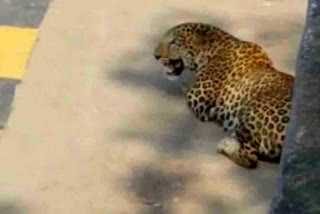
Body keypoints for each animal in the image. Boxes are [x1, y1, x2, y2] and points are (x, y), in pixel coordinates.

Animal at [154, 22, 294, 169]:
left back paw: (226, 145)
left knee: (250, 158)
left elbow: (185, 89)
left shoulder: (198, 98)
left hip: (251, 109)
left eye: (174, 42)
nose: (155, 56)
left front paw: (184, 83)